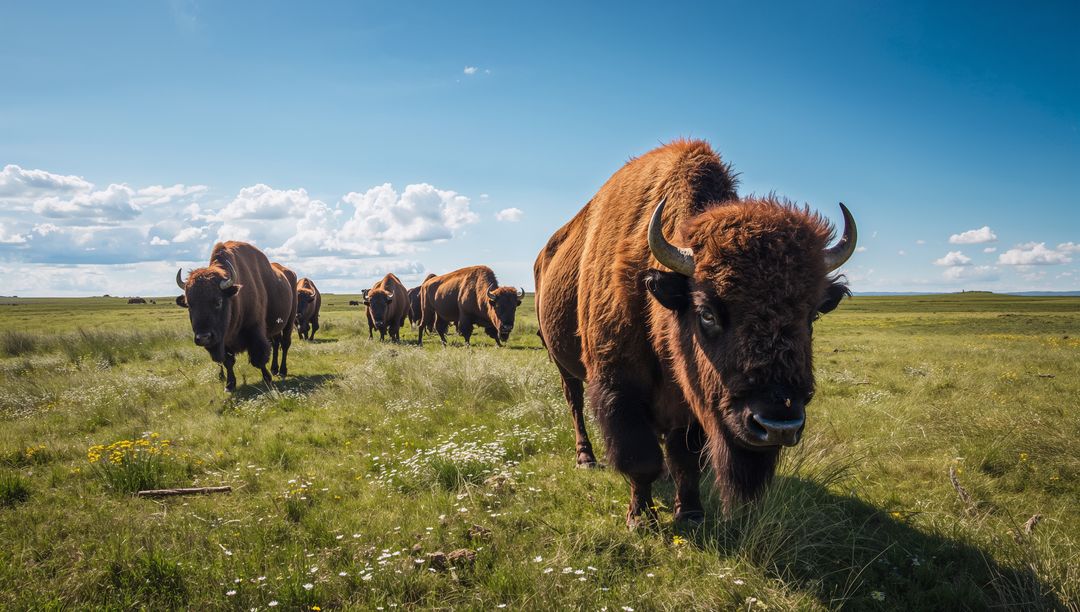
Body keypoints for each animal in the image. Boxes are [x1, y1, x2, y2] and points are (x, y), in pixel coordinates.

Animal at [176, 241, 298, 391]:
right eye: (189, 304)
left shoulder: (255, 330)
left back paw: (282, 371)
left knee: (285, 344)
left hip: (289, 320)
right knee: (276, 344)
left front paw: (267, 379)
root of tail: (289, 274)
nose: (203, 338)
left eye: (218, 302)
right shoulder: (225, 339)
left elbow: (258, 358)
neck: (234, 297)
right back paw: (274, 369)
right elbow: (228, 361)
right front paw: (229, 385)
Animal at [534, 140, 856, 527]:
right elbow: (640, 459)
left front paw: (689, 514)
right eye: (706, 313)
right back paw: (586, 459)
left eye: (811, 315)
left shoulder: (694, 402)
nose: (778, 425)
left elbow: (685, 458)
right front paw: (640, 518)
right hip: (561, 363)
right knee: (575, 405)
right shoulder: (618, 388)